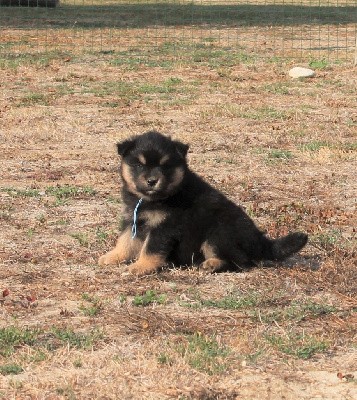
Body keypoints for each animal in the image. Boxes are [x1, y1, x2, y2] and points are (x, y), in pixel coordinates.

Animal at [98, 131, 308, 276]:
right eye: (139, 164)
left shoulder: (164, 226)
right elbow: (125, 241)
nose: (152, 181)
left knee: (240, 262)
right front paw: (112, 256)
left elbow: (150, 249)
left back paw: (211, 264)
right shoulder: (131, 219)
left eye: (165, 166)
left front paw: (141, 266)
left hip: (218, 233)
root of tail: (260, 240)